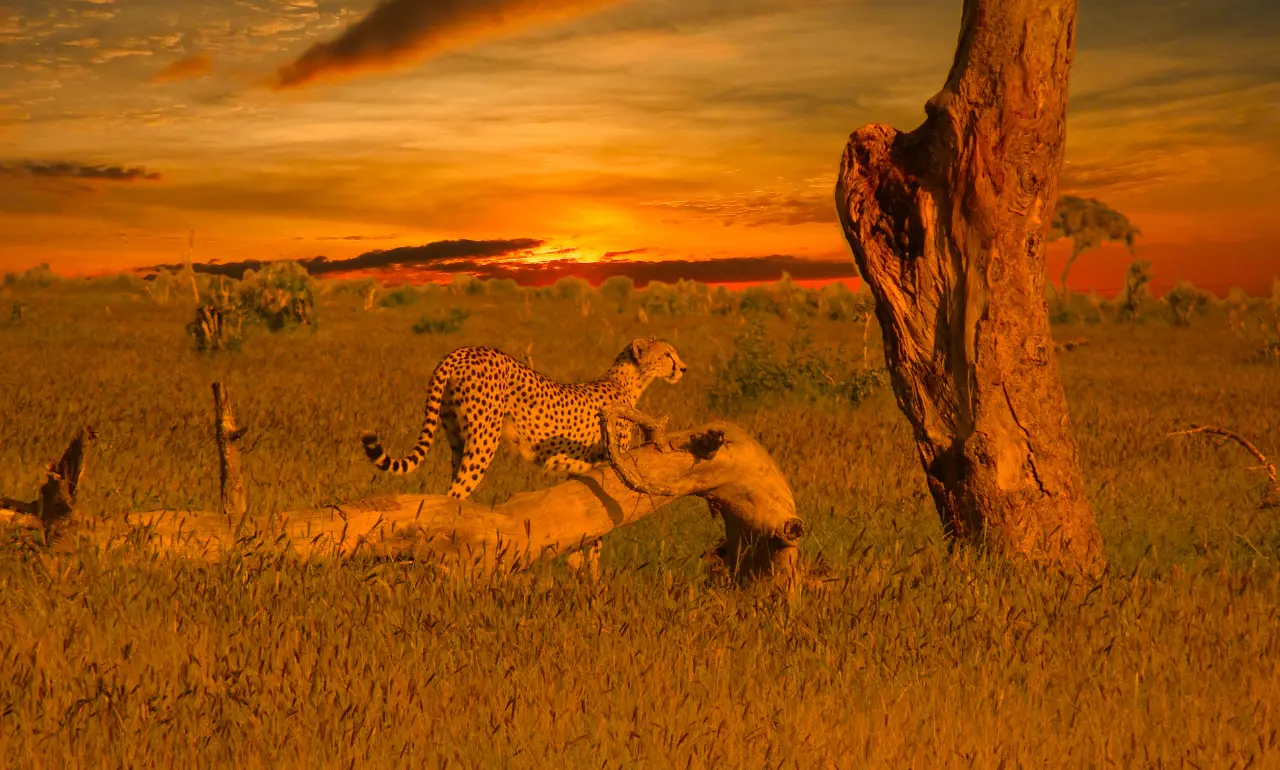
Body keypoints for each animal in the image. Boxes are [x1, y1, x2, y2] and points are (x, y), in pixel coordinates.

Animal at [360, 337, 687, 499]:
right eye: (667, 355)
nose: (683, 368)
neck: (628, 381)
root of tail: (463, 350)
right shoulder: (610, 463)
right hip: (483, 440)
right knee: (457, 490)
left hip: (456, 436)